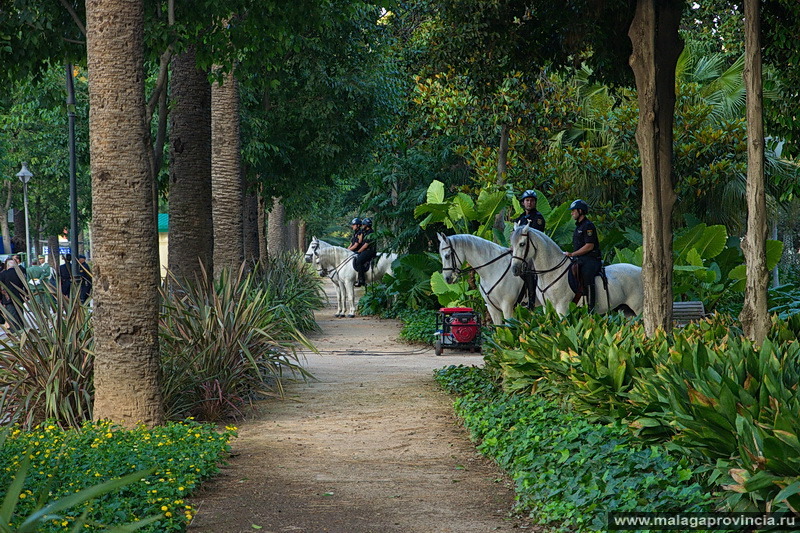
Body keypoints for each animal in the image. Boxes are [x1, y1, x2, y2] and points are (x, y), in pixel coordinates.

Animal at [510, 224, 648, 316]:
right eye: (512, 244)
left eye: (522, 244)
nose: (515, 269)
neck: (552, 272)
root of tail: (640, 270)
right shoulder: (546, 308)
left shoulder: (562, 308)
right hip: (626, 311)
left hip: (639, 310)